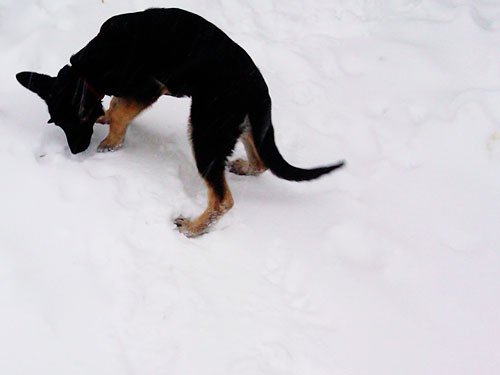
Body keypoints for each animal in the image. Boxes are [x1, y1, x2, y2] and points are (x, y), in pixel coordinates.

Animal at [15, 8, 344, 238]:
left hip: (205, 129)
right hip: (239, 126)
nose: (75, 153)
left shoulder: (148, 88)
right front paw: (106, 117)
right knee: (261, 161)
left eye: (76, 122)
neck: (90, 67)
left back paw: (193, 228)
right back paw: (244, 168)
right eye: (56, 123)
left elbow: (121, 111)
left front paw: (111, 142)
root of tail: (257, 89)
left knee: (223, 200)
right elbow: (116, 104)